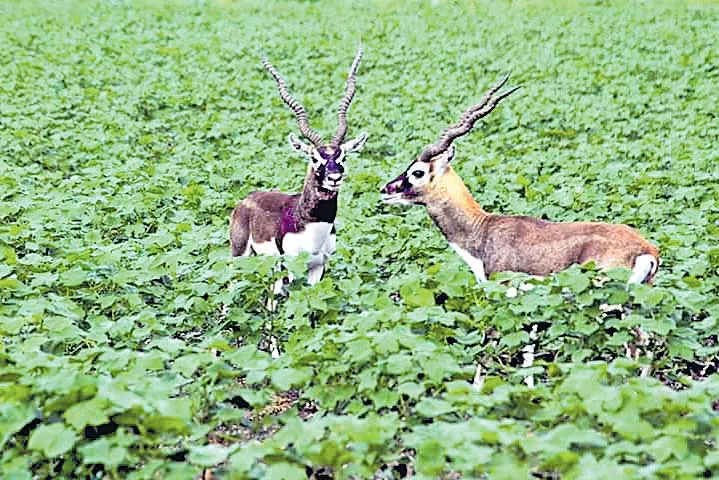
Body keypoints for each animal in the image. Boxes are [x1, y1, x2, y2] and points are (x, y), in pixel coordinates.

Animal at [231, 47, 368, 288]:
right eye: (314, 157)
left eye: (343, 156)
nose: (334, 177)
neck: (312, 229)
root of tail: (246, 199)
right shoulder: (289, 266)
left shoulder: (318, 267)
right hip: (240, 255)